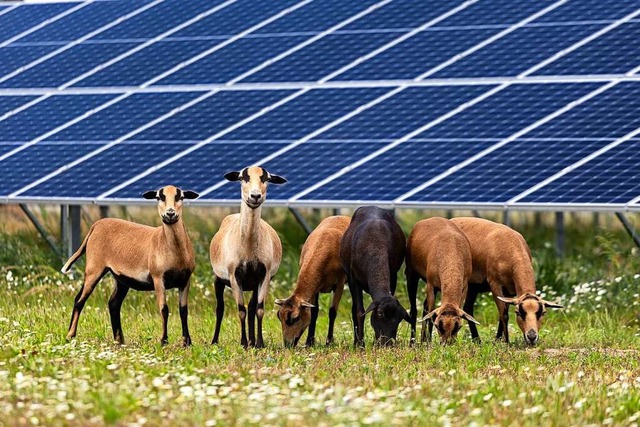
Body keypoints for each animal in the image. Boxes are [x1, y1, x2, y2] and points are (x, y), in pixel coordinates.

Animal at [211, 166, 286, 350]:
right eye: (242, 178)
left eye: (266, 179)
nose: (255, 196)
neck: (248, 248)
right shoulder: (234, 276)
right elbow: (240, 310)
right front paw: (243, 343)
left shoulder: (264, 275)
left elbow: (258, 309)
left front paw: (259, 343)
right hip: (218, 278)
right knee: (220, 308)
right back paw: (215, 341)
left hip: (253, 283)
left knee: (252, 307)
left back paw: (253, 341)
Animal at [276, 216, 350, 350]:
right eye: (278, 316)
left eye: (296, 318)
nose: (288, 344)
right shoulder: (315, 289)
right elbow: (314, 312)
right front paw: (309, 342)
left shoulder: (340, 284)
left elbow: (332, 312)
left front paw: (329, 342)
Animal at [340, 206, 410, 348]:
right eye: (379, 314)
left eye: (399, 319)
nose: (387, 343)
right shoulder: (353, 279)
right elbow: (359, 312)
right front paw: (360, 345)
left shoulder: (393, 276)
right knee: (354, 310)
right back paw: (356, 342)